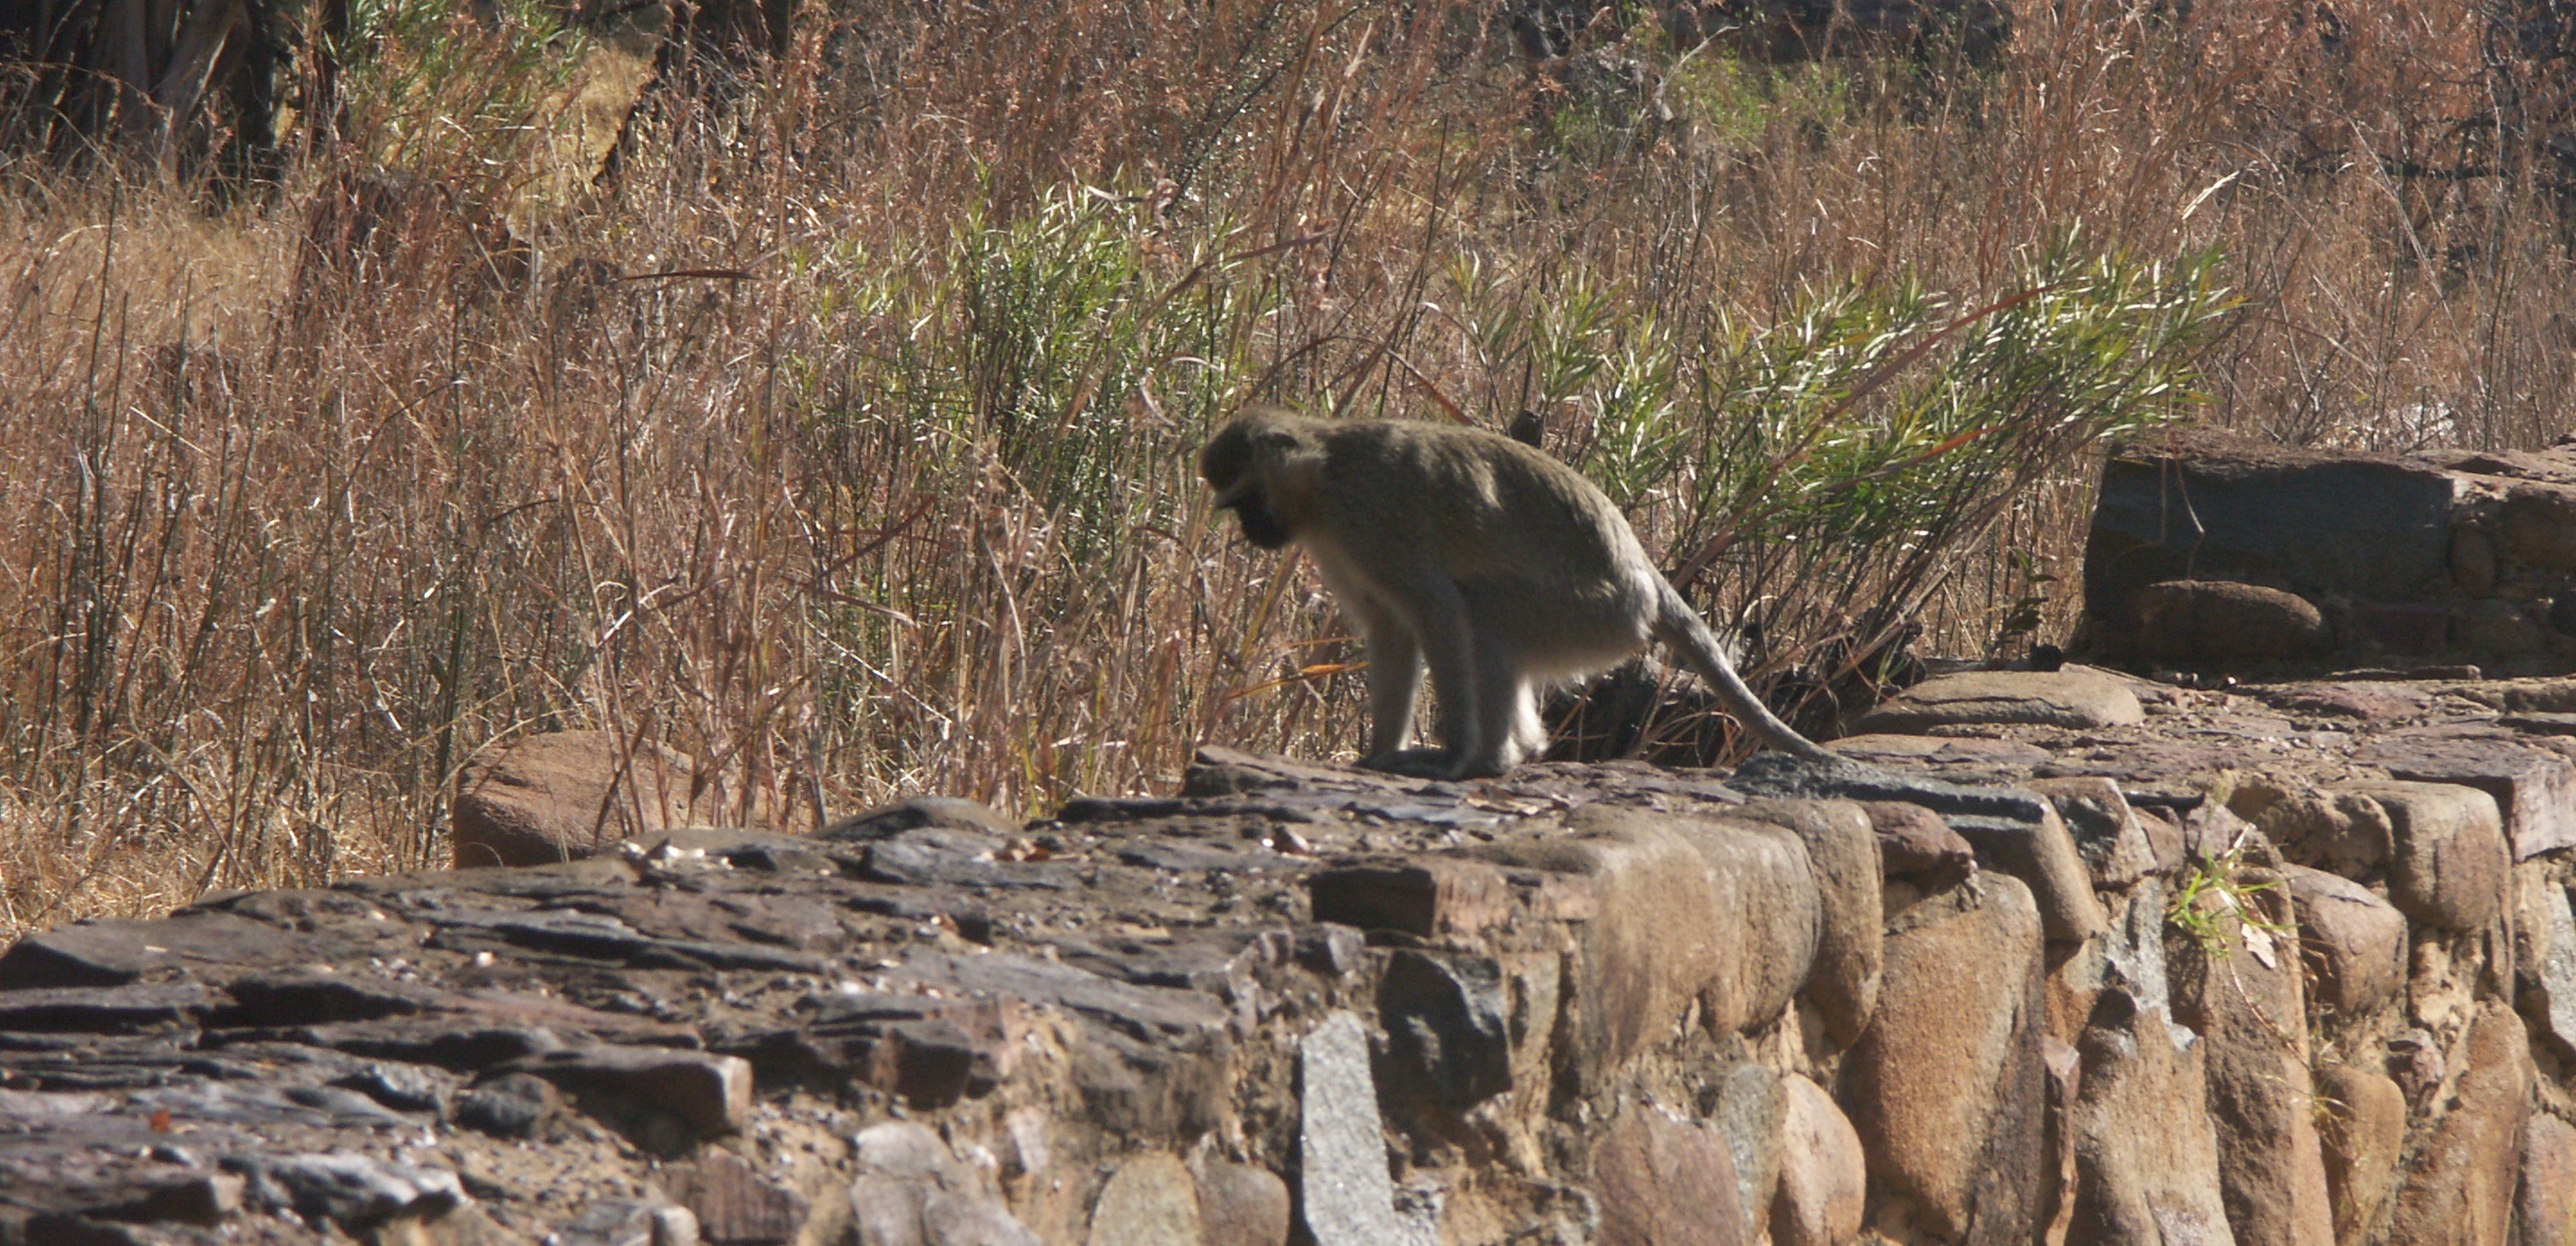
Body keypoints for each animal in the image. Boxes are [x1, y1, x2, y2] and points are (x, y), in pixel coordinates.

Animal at [1195, 408, 1844, 777]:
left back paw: (1488, 760)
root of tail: (1646, 578)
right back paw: (1522, 749)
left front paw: (1451, 753)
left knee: (1484, 614)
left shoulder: (1369, 519)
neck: (1323, 472)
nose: (1251, 533)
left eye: (1246, 500)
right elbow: (1392, 632)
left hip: (1595, 616)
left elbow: (1437, 611)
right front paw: (1380, 752)